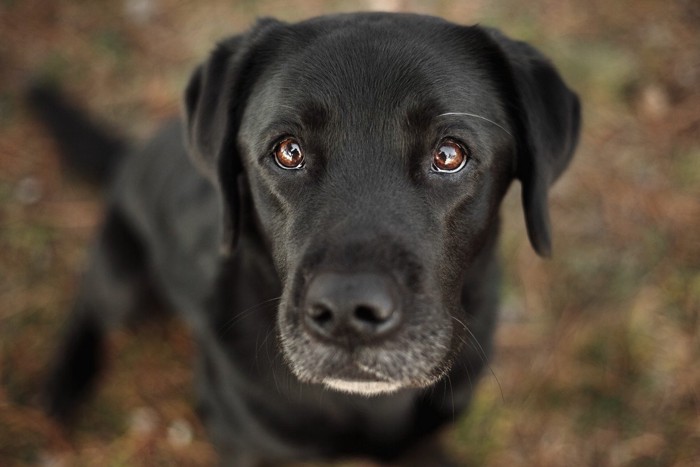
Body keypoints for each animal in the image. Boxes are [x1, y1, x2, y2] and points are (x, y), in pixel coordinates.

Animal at [30, 11, 580, 467]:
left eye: (449, 155)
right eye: (288, 151)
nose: (347, 312)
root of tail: (128, 155)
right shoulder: (244, 444)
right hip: (127, 288)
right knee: (89, 301)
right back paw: (63, 384)